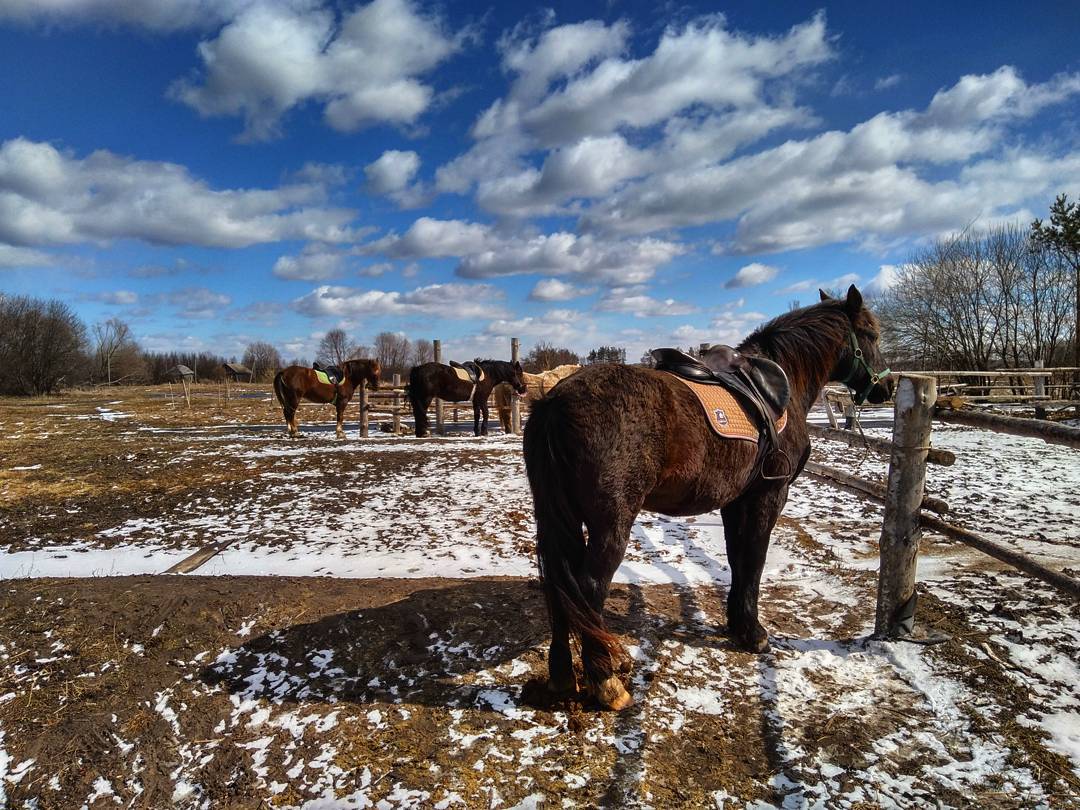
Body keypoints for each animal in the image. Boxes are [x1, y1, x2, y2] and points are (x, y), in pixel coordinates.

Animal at [518, 285, 889, 708]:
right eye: (871, 334)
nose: (887, 387)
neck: (781, 386)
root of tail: (553, 404)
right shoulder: (769, 495)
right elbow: (755, 559)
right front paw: (753, 632)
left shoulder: (735, 501)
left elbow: (737, 557)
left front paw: (737, 623)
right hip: (610, 524)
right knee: (589, 590)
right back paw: (606, 682)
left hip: (559, 519)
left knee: (558, 590)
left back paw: (563, 677)